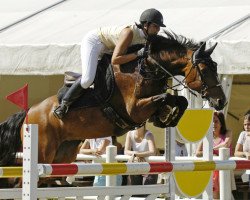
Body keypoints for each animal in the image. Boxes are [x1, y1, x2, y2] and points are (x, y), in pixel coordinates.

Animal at [0, 30, 227, 187]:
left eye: (216, 66)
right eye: (204, 69)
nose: (221, 102)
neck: (148, 68)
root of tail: (29, 113)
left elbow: (179, 101)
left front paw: (167, 117)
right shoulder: (134, 110)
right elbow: (164, 98)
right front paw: (166, 116)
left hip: (63, 155)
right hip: (42, 153)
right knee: (22, 181)